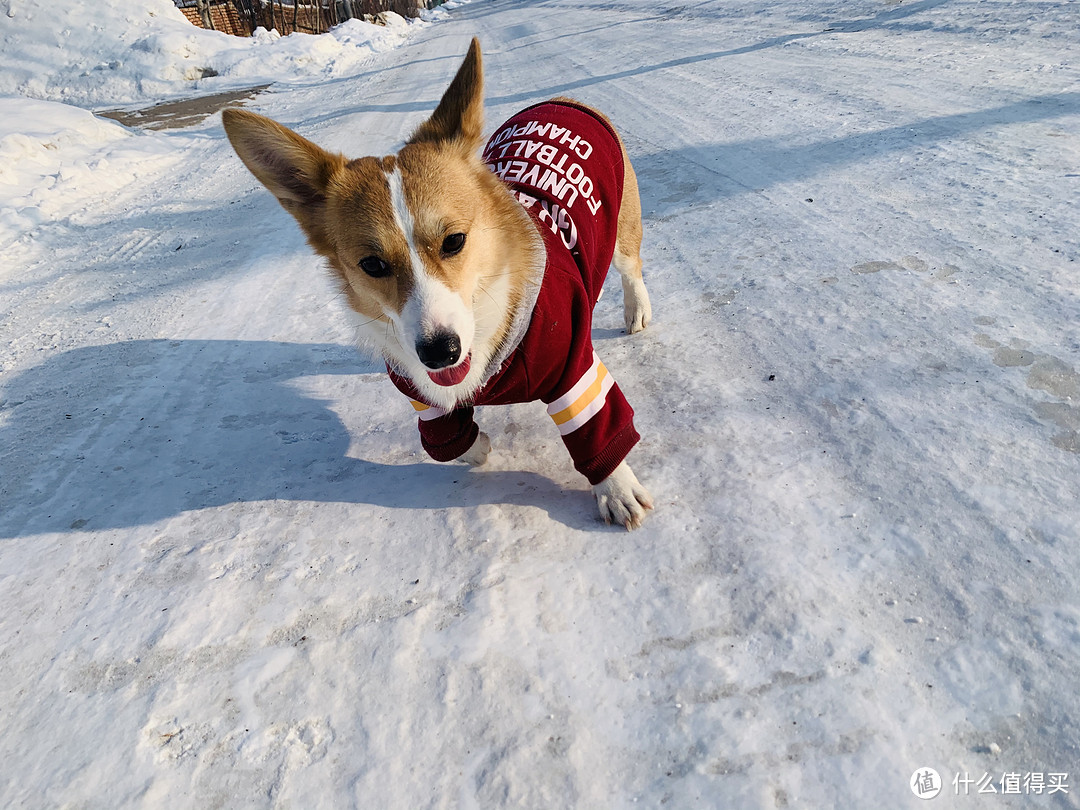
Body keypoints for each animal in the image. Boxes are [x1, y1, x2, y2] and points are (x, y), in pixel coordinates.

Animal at [223, 41, 652, 529]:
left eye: (454, 241)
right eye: (372, 264)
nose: (440, 352)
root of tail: (565, 100)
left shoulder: (572, 366)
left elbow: (594, 426)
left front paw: (616, 489)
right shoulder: (423, 396)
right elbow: (446, 445)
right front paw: (478, 447)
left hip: (622, 231)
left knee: (631, 266)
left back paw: (636, 310)